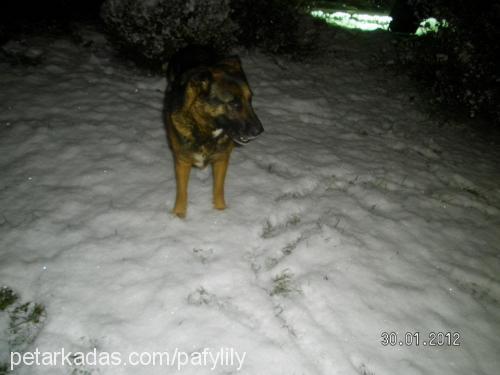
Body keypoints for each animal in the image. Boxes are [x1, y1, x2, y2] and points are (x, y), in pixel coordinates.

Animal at [165, 46, 266, 219]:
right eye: (234, 103)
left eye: (250, 99)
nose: (259, 131)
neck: (205, 130)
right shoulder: (182, 161)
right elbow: (182, 192)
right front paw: (179, 216)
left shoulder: (222, 159)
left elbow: (218, 188)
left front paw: (220, 212)